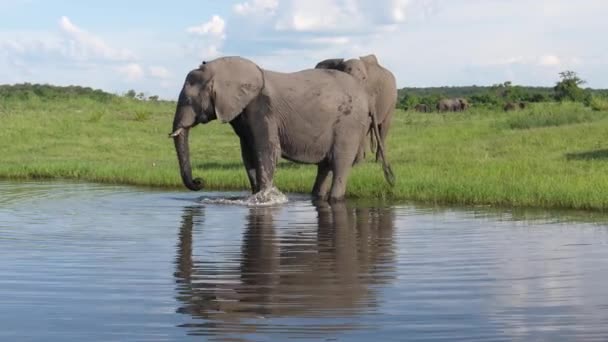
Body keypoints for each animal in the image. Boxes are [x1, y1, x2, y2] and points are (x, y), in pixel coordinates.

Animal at [170, 55, 394, 200]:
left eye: (189, 100)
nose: (200, 181)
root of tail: (366, 97)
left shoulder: (262, 108)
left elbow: (267, 150)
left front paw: (266, 199)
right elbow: (249, 155)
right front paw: (257, 195)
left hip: (349, 125)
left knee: (339, 164)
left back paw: (334, 199)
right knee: (324, 167)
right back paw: (317, 196)